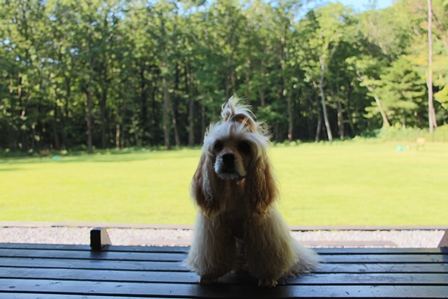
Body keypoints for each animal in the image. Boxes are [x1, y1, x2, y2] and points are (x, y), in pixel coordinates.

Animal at [186, 96, 318, 288]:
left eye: (244, 146)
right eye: (218, 145)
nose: (227, 157)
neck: (234, 191)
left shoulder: (261, 228)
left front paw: (267, 277)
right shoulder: (214, 228)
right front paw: (209, 274)